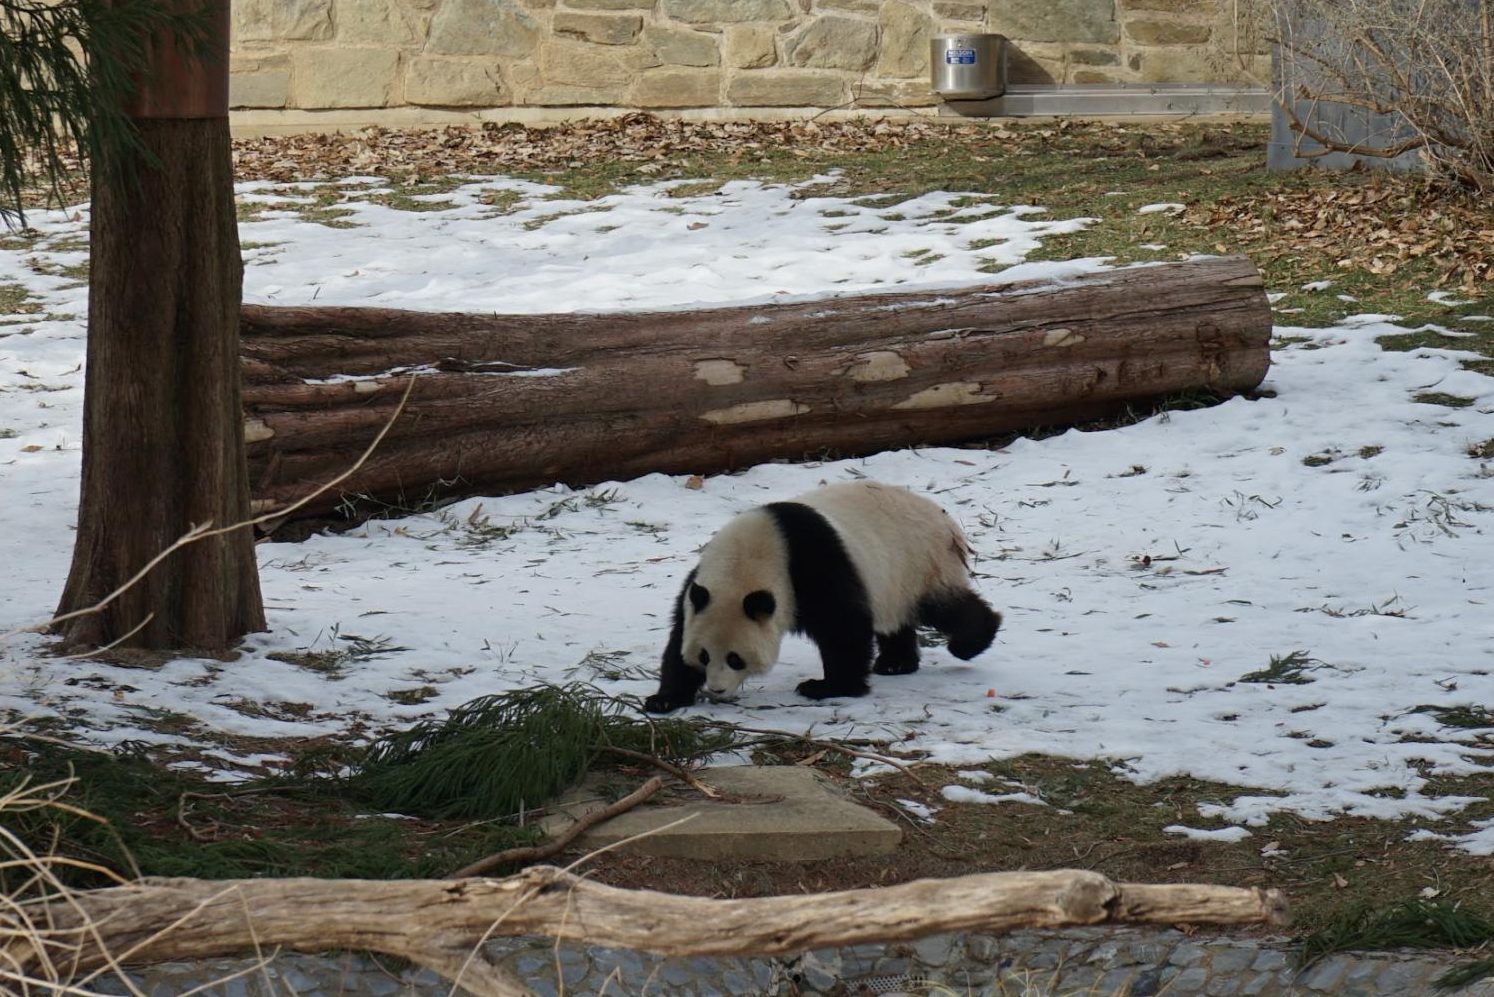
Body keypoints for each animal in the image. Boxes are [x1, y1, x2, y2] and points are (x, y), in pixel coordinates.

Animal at [642, 478, 1003, 714]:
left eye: (735, 659)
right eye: (704, 656)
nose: (716, 689)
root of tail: (943, 518)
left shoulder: (813, 568)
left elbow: (842, 626)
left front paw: (828, 687)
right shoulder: (698, 590)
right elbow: (678, 637)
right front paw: (665, 699)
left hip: (919, 560)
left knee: (944, 607)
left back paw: (969, 642)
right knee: (896, 619)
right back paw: (895, 663)